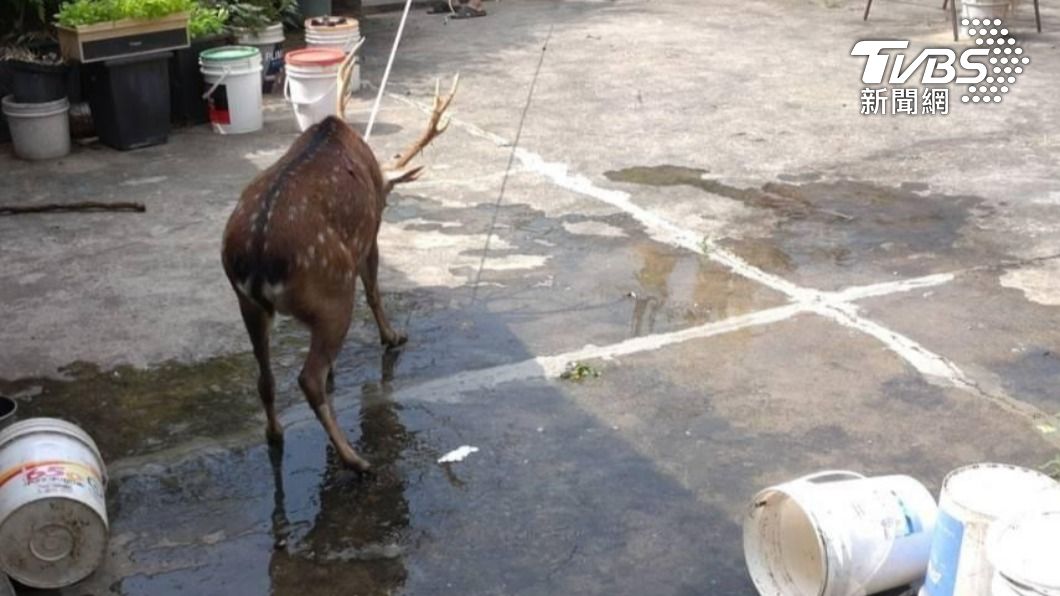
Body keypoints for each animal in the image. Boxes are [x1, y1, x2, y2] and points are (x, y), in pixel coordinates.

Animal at [222, 52, 458, 471]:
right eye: (386, 197)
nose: (387, 198)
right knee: (309, 377)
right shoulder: (369, 235)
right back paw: (355, 458)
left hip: (246, 301)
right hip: (331, 289)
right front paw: (393, 336)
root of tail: (259, 253)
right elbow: (375, 289)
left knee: (265, 377)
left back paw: (275, 433)